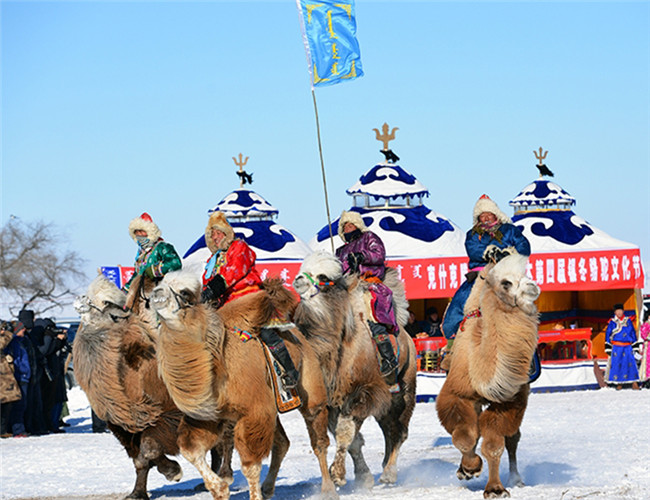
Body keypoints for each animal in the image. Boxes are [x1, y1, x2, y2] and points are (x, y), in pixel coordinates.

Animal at [150, 272, 336, 500]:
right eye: (161, 282)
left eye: (184, 292)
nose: (156, 293)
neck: (217, 365)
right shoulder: (208, 416)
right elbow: (190, 450)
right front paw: (220, 489)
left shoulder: (254, 411)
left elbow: (250, 465)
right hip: (273, 405)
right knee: (282, 442)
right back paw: (268, 488)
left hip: (311, 389)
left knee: (318, 439)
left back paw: (328, 489)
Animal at [292, 250, 416, 488]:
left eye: (323, 277)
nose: (298, 280)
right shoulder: (332, 400)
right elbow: (352, 440)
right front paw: (363, 477)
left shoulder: (363, 392)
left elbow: (345, 433)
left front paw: (338, 474)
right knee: (389, 428)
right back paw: (384, 467)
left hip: (405, 388)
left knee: (400, 429)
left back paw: (389, 473)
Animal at [432, 256, 540, 498]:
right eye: (506, 283)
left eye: (527, 274)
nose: (533, 287)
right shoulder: (457, 393)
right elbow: (465, 436)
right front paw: (470, 468)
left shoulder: (509, 401)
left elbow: (493, 444)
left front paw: (496, 489)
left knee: (512, 439)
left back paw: (516, 478)